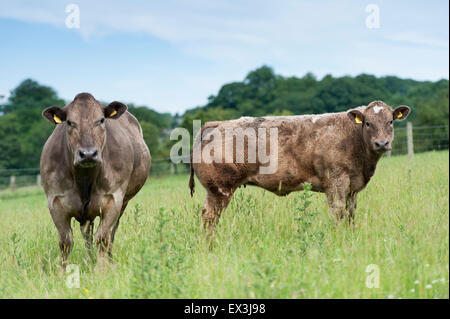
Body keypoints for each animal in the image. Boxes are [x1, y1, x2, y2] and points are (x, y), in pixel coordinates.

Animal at [40, 93, 151, 270]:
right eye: (69, 122)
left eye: (101, 120)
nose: (88, 154)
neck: (84, 179)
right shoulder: (55, 201)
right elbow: (65, 241)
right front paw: (62, 271)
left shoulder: (113, 198)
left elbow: (103, 237)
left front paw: (102, 269)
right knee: (87, 234)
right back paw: (89, 259)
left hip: (123, 202)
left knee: (111, 233)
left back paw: (108, 258)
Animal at [190, 100, 412, 235]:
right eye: (367, 123)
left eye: (390, 121)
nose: (382, 143)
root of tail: (218, 124)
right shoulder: (336, 182)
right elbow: (338, 212)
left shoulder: (352, 188)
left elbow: (350, 214)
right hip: (219, 189)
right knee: (209, 217)